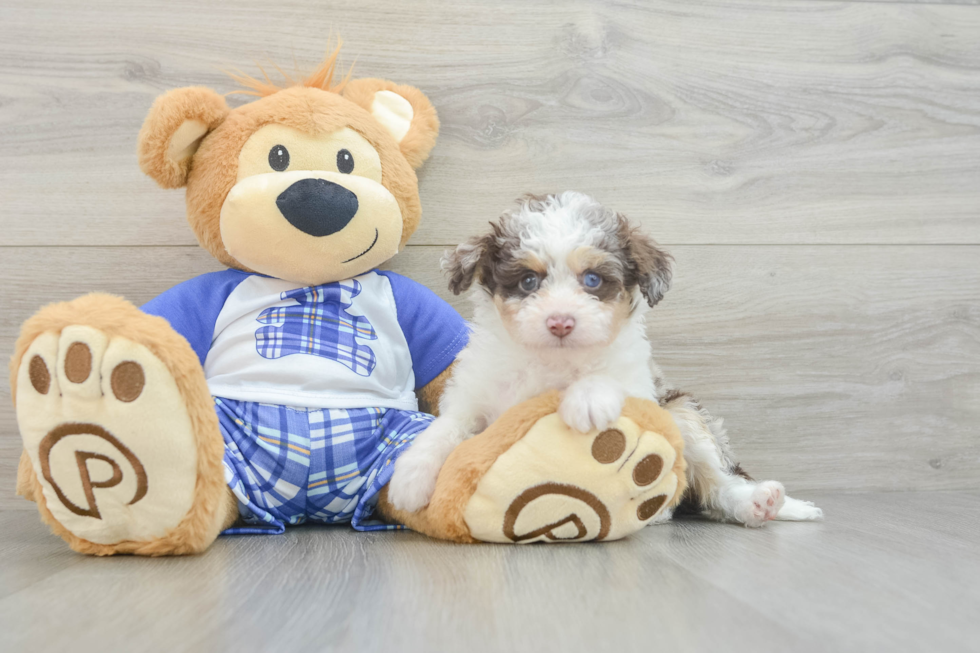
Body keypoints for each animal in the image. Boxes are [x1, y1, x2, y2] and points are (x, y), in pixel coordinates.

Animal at [386, 190, 824, 524]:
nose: (561, 322)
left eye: (593, 280)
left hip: (682, 412)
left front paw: (588, 400)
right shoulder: (473, 396)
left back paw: (758, 502)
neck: (552, 360)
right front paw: (410, 477)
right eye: (528, 281)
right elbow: (445, 428)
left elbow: (608, 372)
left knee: (715, 484)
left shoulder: (640, 383)